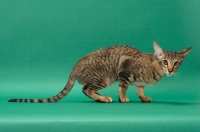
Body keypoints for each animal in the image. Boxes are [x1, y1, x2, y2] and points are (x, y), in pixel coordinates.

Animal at [8, 41, 192, 102]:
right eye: (165, 62)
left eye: (176, 63)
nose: (170, 70)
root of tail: (77, 64)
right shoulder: (124, 70)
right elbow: (124, 87)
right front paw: (123, 98)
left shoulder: (140, 82)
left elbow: (140, 88)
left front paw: (143, 97)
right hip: (104, 78)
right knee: (86, 89)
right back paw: (103, 98)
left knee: (85, 89)